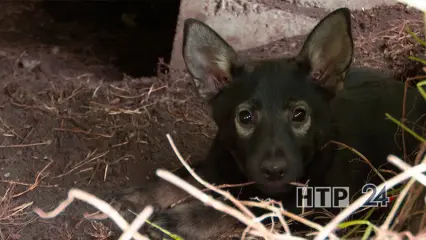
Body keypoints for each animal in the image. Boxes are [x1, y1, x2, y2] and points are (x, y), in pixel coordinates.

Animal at [110, 7, 426, 240]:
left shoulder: (307, 207)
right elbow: (183, 176)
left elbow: (247, 208)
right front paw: (142, 194)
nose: (274, 171)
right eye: (245, 117)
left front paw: (184, 220)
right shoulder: (217, 162)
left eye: (299, 115)